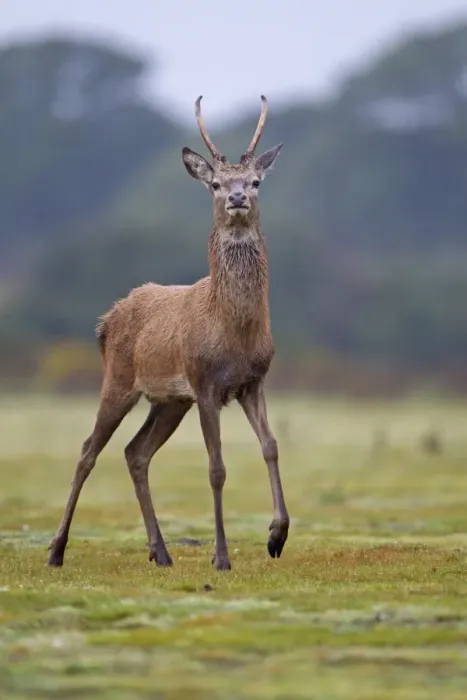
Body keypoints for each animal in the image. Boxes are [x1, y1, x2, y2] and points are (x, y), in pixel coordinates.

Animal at [47, 95, 289, 572]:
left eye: (255, 181)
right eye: (215, 184)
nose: (237, 197)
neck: (234, 332)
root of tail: (105, 321)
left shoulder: (253, 382)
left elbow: (271, 446)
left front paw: (277, 537)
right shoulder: (205, 383)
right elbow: (216, 467)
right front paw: (221, 556)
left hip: (169, 401)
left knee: (135, 452)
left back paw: (159, 552)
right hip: (119, 381)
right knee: (88, 450)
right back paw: (57, 550)